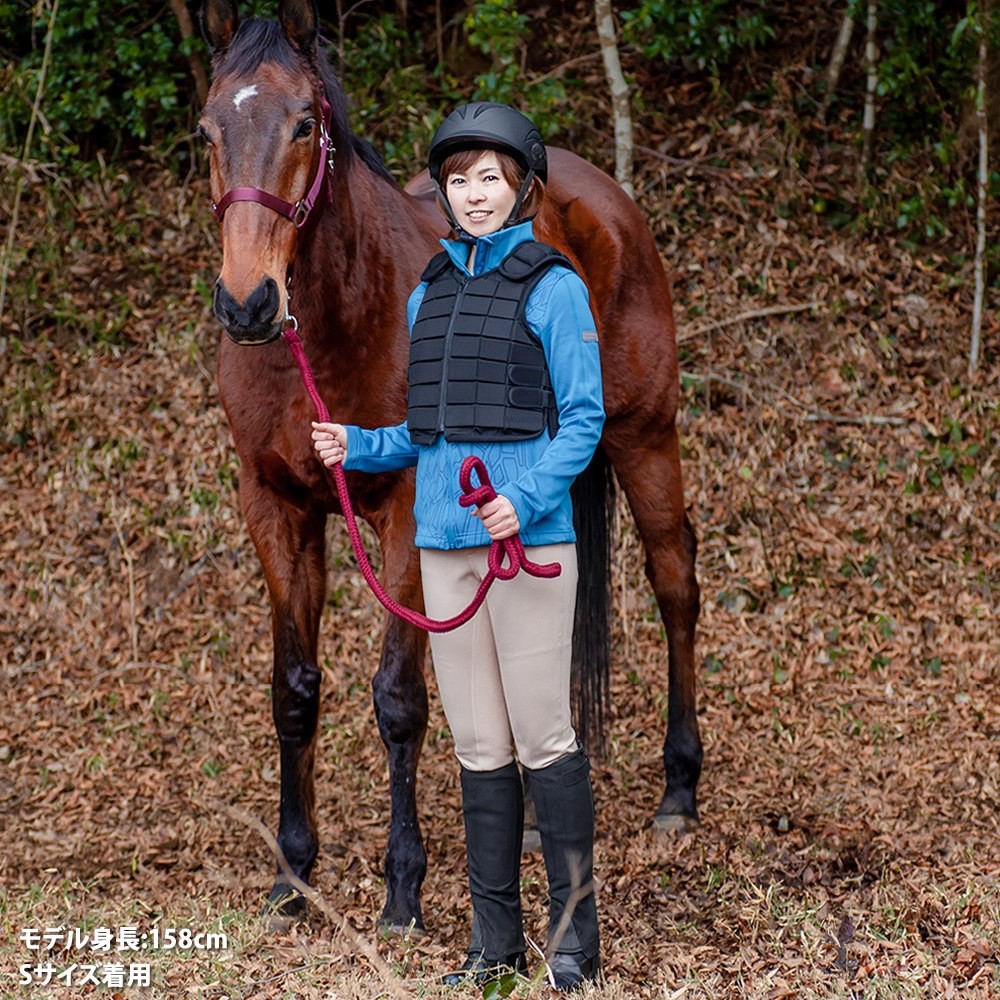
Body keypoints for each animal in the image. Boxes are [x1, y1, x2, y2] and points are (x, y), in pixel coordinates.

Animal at [195, 0, 696, 928]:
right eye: (207, 130)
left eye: (305, 123)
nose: (248, 304)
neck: (335, 322)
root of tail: (604, 198)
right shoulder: (275, 508)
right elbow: (294, 691)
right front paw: (292, 873)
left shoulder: (403, 512)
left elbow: (398, 698)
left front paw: (403, 887)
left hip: (646, 436)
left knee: (677, 583)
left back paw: (680, 790)